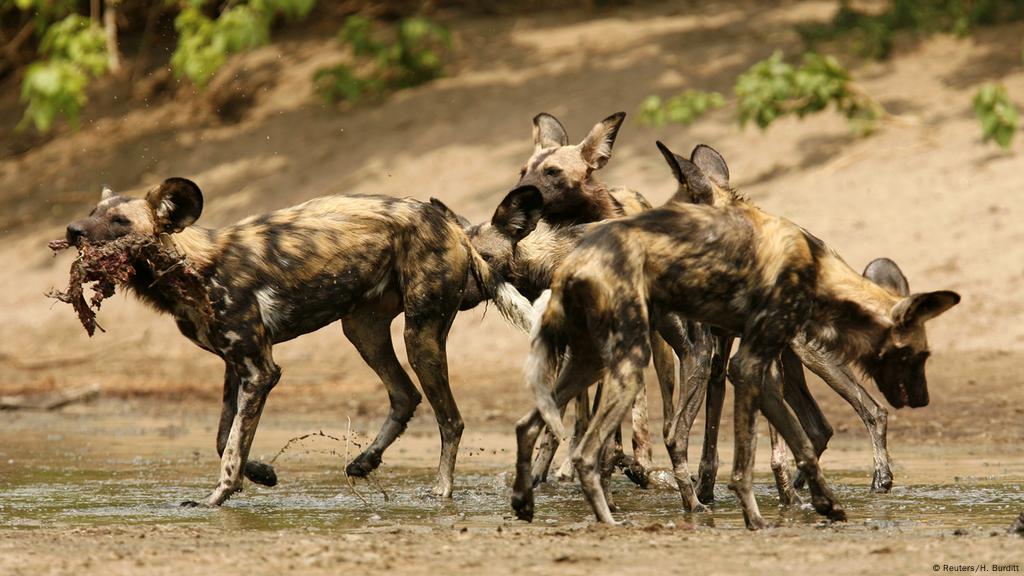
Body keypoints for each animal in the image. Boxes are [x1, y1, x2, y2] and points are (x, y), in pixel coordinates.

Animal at [61, 178, 536, 502]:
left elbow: (230, 448)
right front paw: (260, 473)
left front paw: (218, 498)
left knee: (450, 419)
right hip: (362, 331)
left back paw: (441, 491)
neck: (192, 266)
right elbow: (224, 438)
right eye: (91, 211)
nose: (72, 231)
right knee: (405, 396)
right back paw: (365, 461)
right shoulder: (236, 367)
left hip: (420, 335)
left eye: (119, 222)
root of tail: (453, 226)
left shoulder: (260, 371)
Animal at [516, 141, 962, 528]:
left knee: (867, 411)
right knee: (819, 427)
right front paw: (710, 497)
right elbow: (708, 445)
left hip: (803, 355)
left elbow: (693, 439)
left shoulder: (716, 358)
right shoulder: (726, 361)